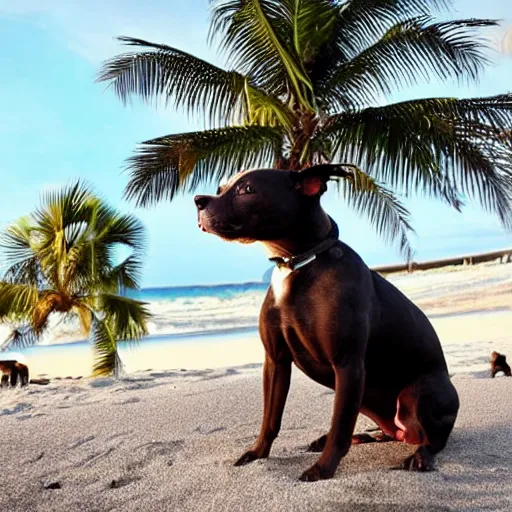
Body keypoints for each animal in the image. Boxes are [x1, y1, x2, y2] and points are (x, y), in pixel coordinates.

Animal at [194, 164, 458, 480]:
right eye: (220, 188)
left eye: (246, 189)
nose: (198, 201)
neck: (299, 263)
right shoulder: (276, 362)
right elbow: (270, 420)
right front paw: (257, 454)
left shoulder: (347, 365)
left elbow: (340, 427)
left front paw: (322, 469)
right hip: (368, 400)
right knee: (385, 433)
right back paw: (357, 437)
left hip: (419, 392)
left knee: (434, 439)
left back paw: (420, 456)